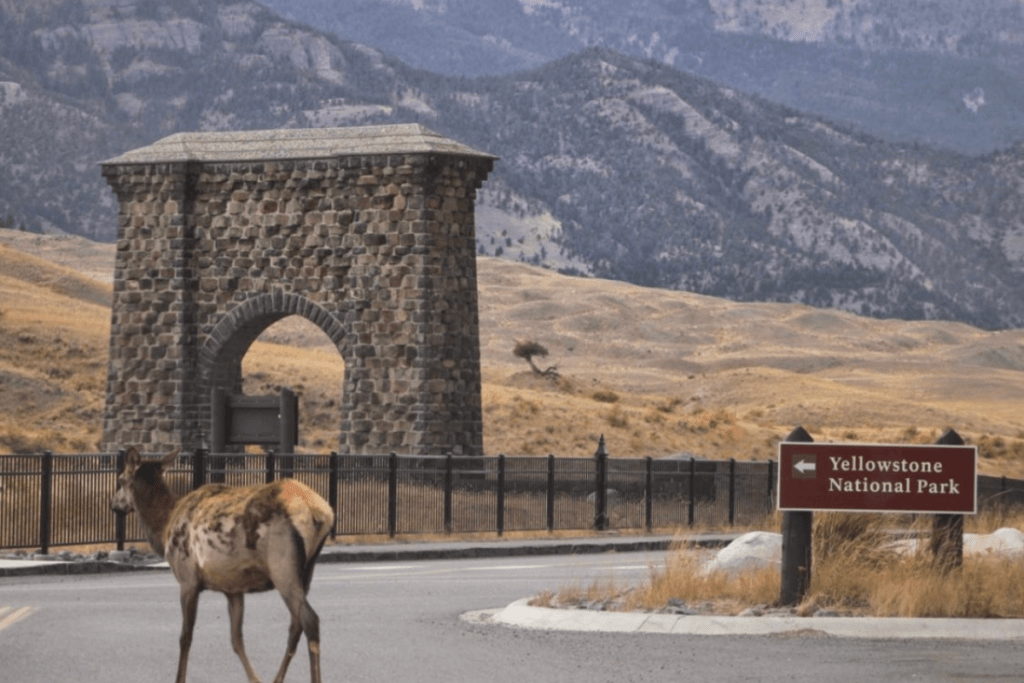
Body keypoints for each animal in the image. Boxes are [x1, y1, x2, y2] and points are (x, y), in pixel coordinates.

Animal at [112, 448, 335, 683]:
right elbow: (236, 640)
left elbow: (185, 637)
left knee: (310, 620)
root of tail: (321, 513)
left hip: (282, 567)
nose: (114, 504)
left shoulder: (187, 579)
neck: (163, 530)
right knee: (295, 625)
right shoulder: (233, 588)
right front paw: (256, 679)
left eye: (121, 479)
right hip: (306, 571)